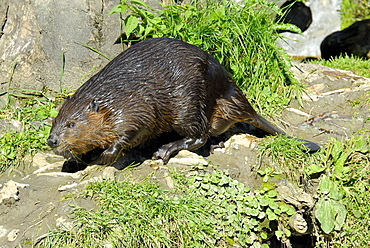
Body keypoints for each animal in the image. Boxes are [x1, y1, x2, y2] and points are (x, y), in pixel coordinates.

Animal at [45, 37, 318, 165]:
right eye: (55, 121)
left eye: (71, 124)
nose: (51, 141)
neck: (113, 94)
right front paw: (76, 159)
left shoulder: (137, 104)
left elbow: (133, 129)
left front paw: (106, 155)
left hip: (188, 101)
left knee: (199, 135)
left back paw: (165, 149)